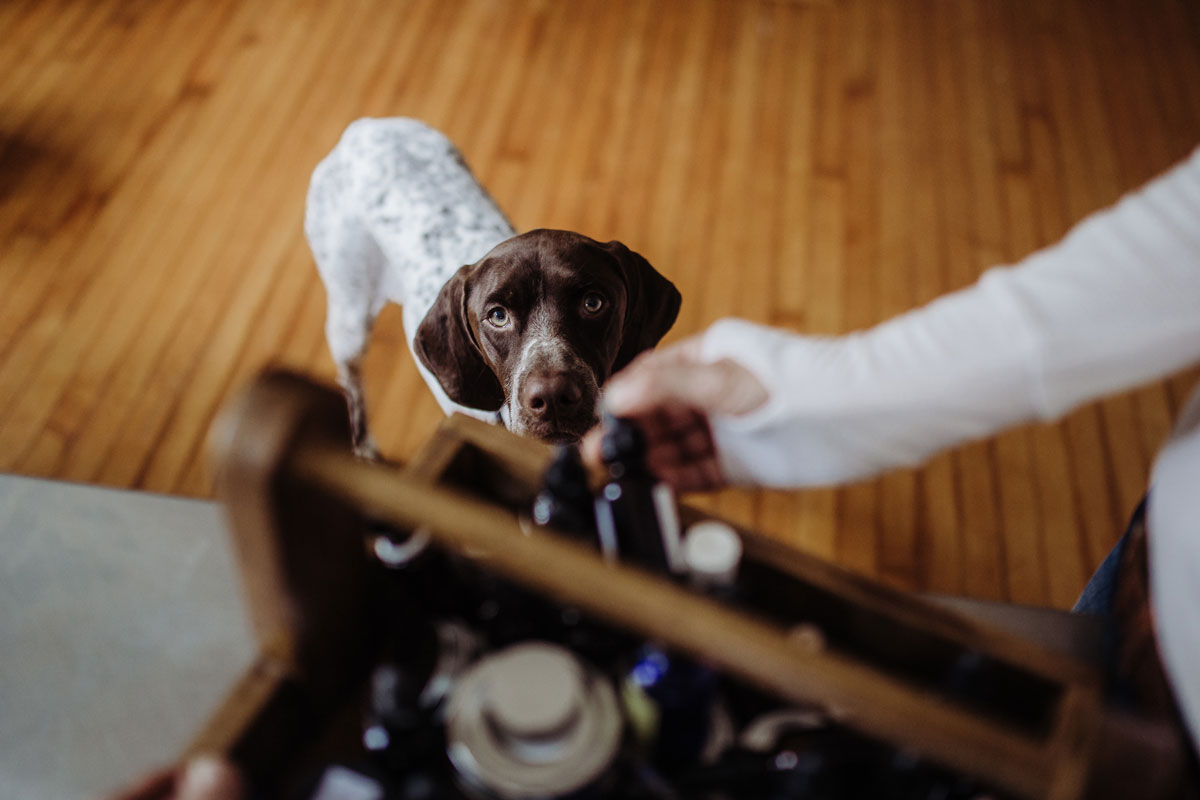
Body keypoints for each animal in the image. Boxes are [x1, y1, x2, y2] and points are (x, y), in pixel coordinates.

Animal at [304, 118, 681, 455]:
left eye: (593, 303)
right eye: (497, 316)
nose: (553, 397)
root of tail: (361, 130)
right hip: (350, 318)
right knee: (351, 382)